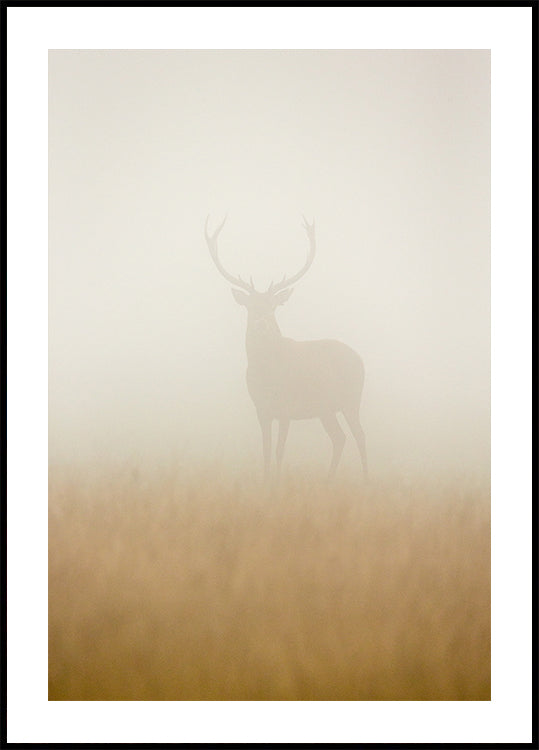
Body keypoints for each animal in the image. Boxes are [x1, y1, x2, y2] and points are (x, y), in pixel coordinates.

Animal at [205, 215, 368, 483]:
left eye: (273, 306)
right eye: (250, 306)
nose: (261, 324)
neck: (266, 374)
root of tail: (361, 360)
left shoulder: (286, 408)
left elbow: (280, 450)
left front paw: (277, 483)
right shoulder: (261, 409)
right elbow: (266, 450)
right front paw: (266, 481)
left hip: (352, 398)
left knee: (360, 435)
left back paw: (365, 479)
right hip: (326, 408)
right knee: (340, 437)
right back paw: (329, 479)